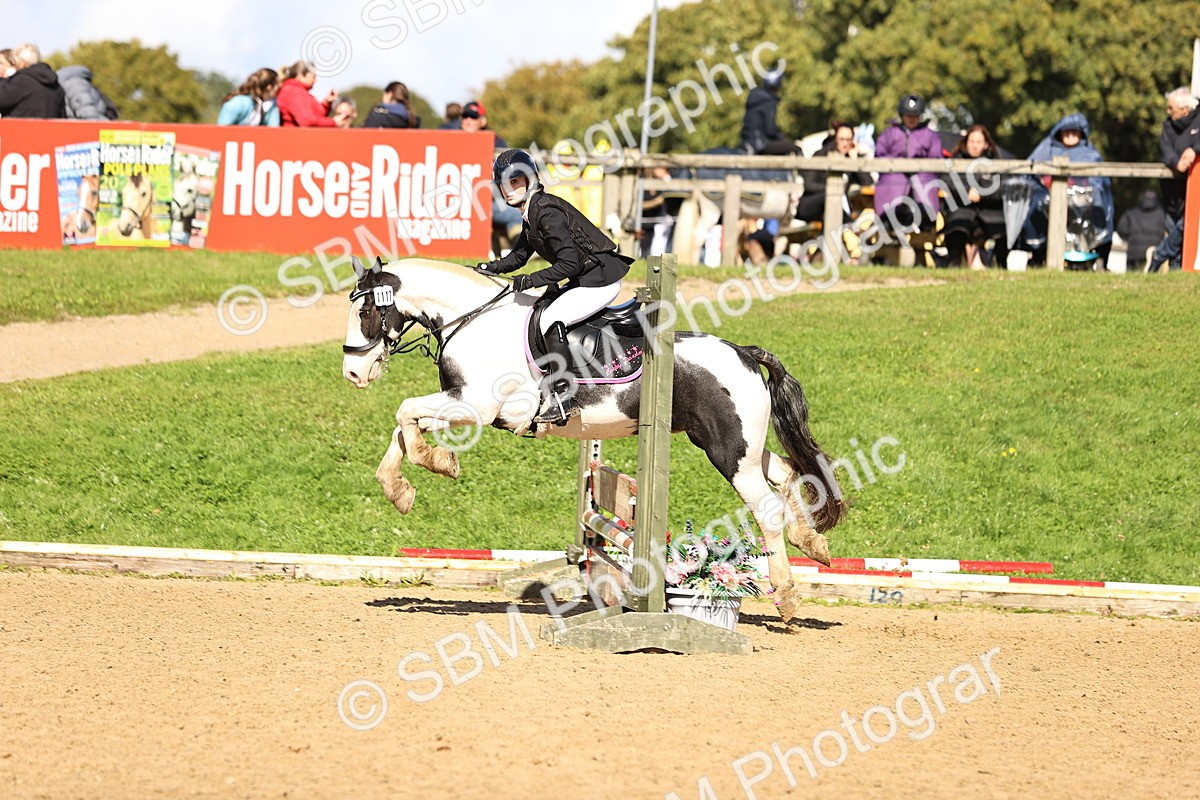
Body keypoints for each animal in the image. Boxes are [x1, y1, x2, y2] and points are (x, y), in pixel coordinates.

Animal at [340, 257, 846, 623]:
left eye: (365, 311)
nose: (353, 374)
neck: (472, 322)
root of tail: (744, 352)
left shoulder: (478, 406)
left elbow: (404, 411)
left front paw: (434, 462)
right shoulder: (462, 404)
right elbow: (403, 423)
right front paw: (403, 488)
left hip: (727, 450)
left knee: (766, 508)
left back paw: (787, 597)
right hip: (742, 446)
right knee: (786, 473)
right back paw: (812, 544)